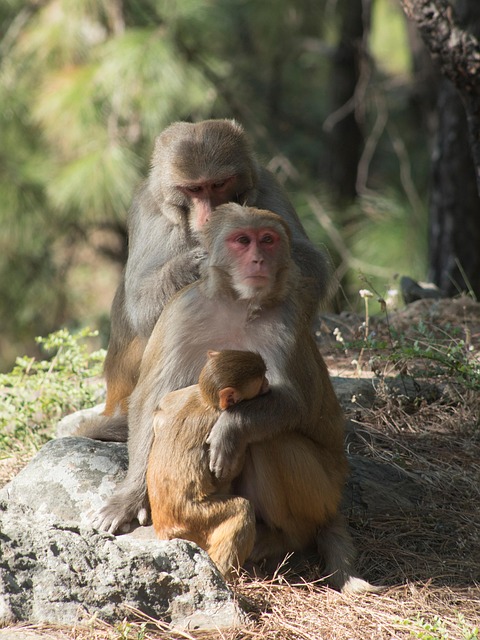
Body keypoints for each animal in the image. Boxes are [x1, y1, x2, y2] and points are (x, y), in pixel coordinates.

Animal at [97, 119, 332, 426]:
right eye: (194, 189)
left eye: (218, 184)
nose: (209, 215)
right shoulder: (148, 209)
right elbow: (141, 307)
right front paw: (197, 264)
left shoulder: (267, 186)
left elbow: (313, 267)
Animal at [146, 349, 269, 580]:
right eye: (260, 383)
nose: (268, 384)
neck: (205, 400)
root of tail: (165, 528)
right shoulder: (222, 418)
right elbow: (222, 475)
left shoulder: (183, 394)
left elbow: (159, 413)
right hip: (194, 518)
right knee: (241, 509)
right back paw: (225, 575)